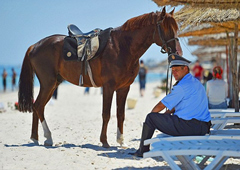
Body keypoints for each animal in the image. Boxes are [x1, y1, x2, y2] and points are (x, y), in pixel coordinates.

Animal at [18, 6, 182, 147]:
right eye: (166, 28)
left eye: (176, 28)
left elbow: (121, 114)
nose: (177, 52)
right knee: (38, 106)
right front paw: (104, 141)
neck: (122, 47)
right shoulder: (108, 87)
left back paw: (35, 138)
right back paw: (48, 138)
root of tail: (35, 45)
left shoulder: (124, 88)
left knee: (38, 106)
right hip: (48, 83)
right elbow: (106, 114)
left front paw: (121, 141)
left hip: (53, 84)